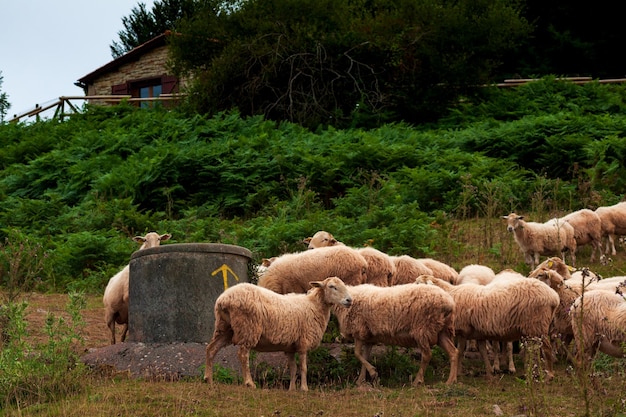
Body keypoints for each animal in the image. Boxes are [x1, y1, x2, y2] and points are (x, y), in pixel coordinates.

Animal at [204, 276, 352, 390]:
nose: (349, 300)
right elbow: (303, 367)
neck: (314, 306)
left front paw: (292, 389)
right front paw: (304, 388)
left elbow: (293, 368)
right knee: (243, 355)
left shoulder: (291, 347)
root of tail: (224, 299)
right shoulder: (303, 342)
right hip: (248, 328)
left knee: (211, 349)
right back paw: (249, 383)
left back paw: (209, 380)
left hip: (224, 327)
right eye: (332, 286)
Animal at [414, 272, 556, 380]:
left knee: (546, 349)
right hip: (535, 328)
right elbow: (479, 352)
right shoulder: (475, 333)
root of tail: (553, 297)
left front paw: (458, 373)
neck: (451, 294)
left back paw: (549, 375)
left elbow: (459, 351)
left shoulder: (463, 330)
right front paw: (488, 372)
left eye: (418, 283)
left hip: (537, 325)